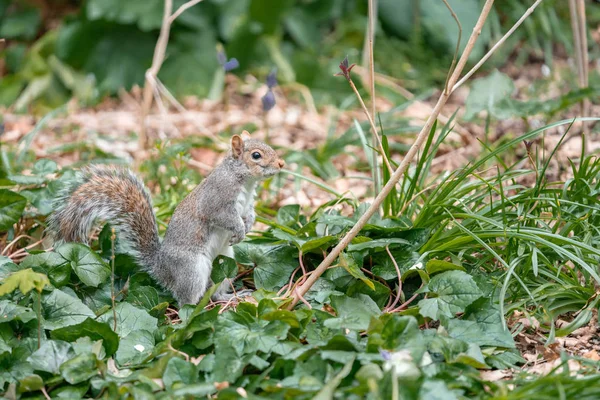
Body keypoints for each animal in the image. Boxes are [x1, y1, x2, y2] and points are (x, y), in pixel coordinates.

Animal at [45, 133, 284, 304]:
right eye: (256, 155)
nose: (281, 164)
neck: (244, 180)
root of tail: (163, 268)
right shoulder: (217, 200)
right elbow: (224, 217)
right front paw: (240, 229)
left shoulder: (248, 203)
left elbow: (249, 213)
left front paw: (248, 224)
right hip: (192, 269)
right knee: (187, 300)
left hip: (224, 266)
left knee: (213, 290)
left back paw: (228, 297)